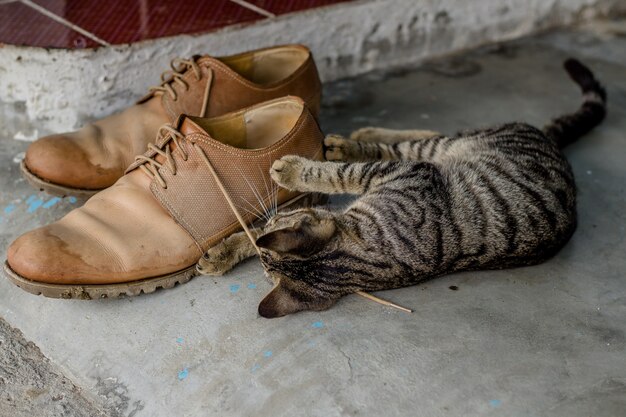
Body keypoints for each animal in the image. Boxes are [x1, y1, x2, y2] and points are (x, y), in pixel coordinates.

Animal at [196, 58, 604, 316]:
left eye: (280, 219)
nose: (271, 219)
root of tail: (554, 146)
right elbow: (254, 238)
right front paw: (225, 251)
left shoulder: (410, 174)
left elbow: (343, 174)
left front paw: (294, 170)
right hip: (444, 150)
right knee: (430, 134)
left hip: (440, 152)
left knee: (419, 141)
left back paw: (352, 141)